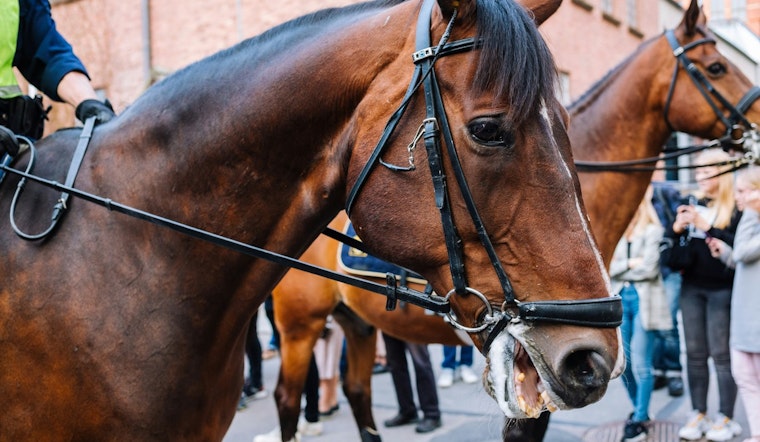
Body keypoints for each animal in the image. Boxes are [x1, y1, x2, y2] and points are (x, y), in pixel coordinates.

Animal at [267, 0, 760, 440]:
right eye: (717, 67)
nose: (758, 122)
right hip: (299, 326)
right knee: (287, 399)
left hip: (356, 323)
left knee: (357, 390)